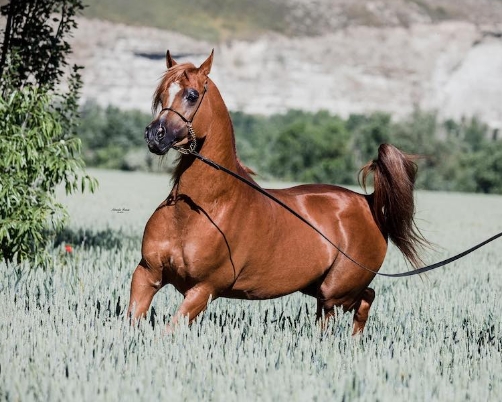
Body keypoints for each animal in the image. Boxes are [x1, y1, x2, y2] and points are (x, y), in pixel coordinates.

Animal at [126, 50, 428, 334]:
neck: (199, 208)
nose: (155, 135)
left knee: (363, 300)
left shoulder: (203, 290)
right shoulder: (147, 274)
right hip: (319, 289)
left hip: (338, 289)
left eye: (191, 95)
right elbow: (131, 323)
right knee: (338, 313)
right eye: (162, 94)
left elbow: (168, 331)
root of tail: (368, 202)